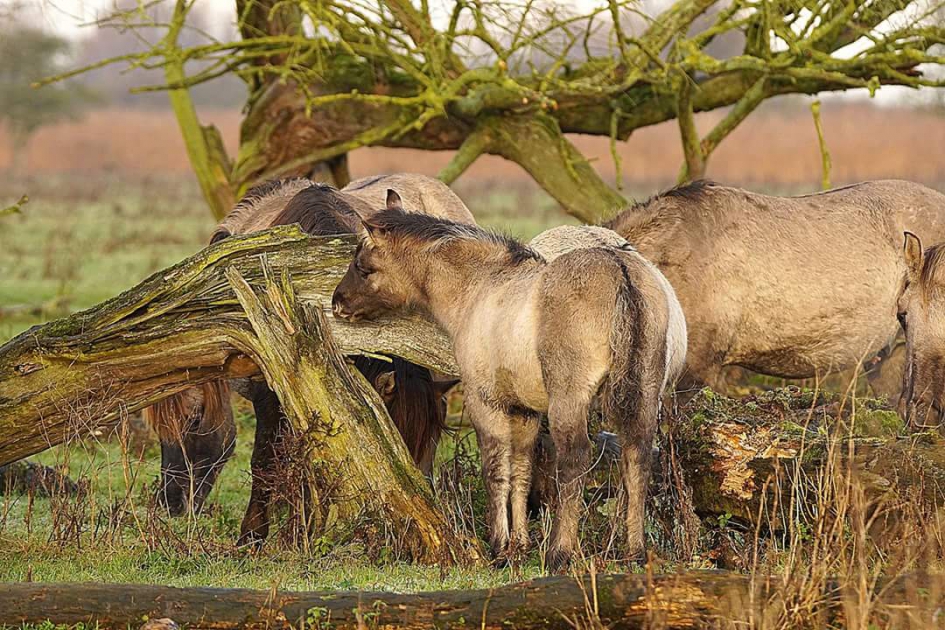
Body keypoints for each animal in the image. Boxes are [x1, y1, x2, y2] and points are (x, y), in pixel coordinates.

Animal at [332, 205, 686, 570]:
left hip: (569, 400)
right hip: (644, 394)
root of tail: (620, 270)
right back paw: (635, 551)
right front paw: (520, 543)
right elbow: (521, 470)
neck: (482, 287)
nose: (337, 303)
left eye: (363, 267)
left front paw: (500, 546)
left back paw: (561, 551)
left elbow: (495, 469)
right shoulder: (524, 410)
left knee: (575, 458)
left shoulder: (485, 402)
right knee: (637, 455)